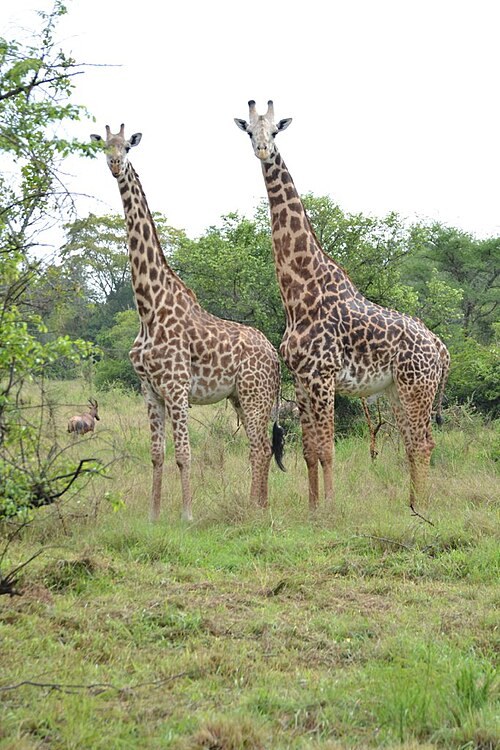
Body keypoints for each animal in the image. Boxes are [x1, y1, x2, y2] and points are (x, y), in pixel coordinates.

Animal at [90, 124, 285, 522]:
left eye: (126, 147)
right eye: (104, 147)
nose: (115, 166)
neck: (148, 309)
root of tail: (274, 356)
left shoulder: (177, 389)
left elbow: (183, 454)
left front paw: (187, 515)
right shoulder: (149, 390)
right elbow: (156, 455)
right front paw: (153, 516)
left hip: (256, 395)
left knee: (260, 446)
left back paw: (256, 508)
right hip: (240, 397)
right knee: (258, 446)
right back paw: (257, 504)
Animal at [235, 101, 450, 512]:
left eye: (276, 130)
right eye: (249, 131)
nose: (263, 151)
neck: (299, 293)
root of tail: (441, 348)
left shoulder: (323, 377)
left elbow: (327, 449)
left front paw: (330, 508)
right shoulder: (302, 380)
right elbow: (309, 451)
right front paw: (312, 506)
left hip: (417, 387)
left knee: (422, 442)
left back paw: (422, 507)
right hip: (397, 390)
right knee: (414, 442)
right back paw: (411, 503)